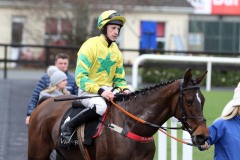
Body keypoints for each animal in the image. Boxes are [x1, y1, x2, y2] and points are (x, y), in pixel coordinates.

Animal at [27, 69, 208, 160]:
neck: (132, 125)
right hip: (37, 152)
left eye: (203, 100)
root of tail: (45, 101)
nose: (203, 136)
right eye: (189, 100)